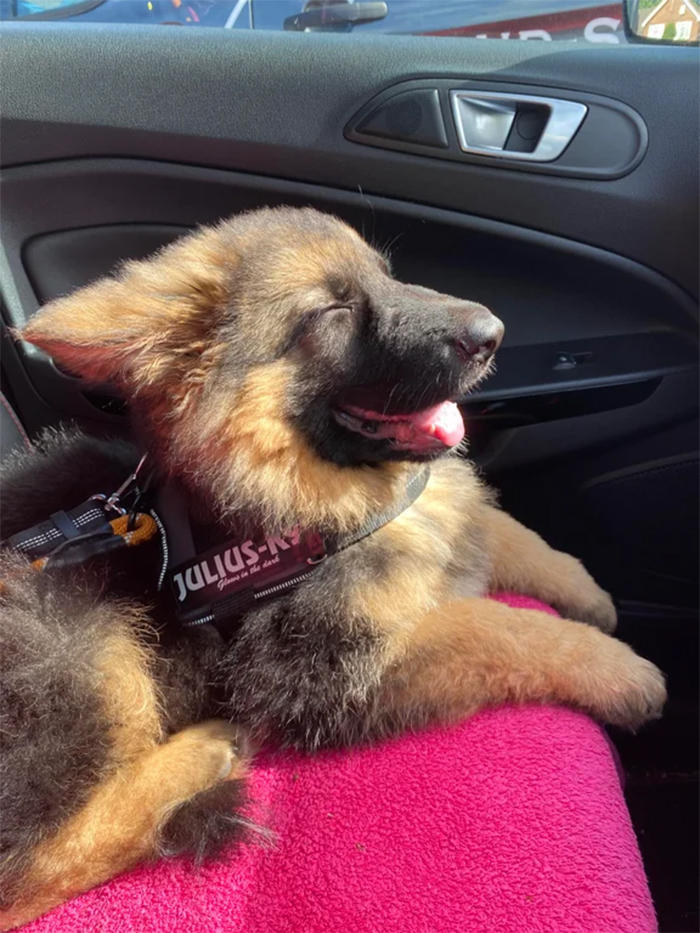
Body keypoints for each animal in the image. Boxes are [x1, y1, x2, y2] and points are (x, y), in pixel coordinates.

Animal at [0, 208, 668, 928]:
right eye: (332, 311)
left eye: (385, 274)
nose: (492, 334)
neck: (314, 497)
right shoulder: (328, 668)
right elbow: (499, 629)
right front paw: (620, 669)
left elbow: (513, 536)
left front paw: (589, 594)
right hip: (72, 635)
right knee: (26, 866)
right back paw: (199, 757)